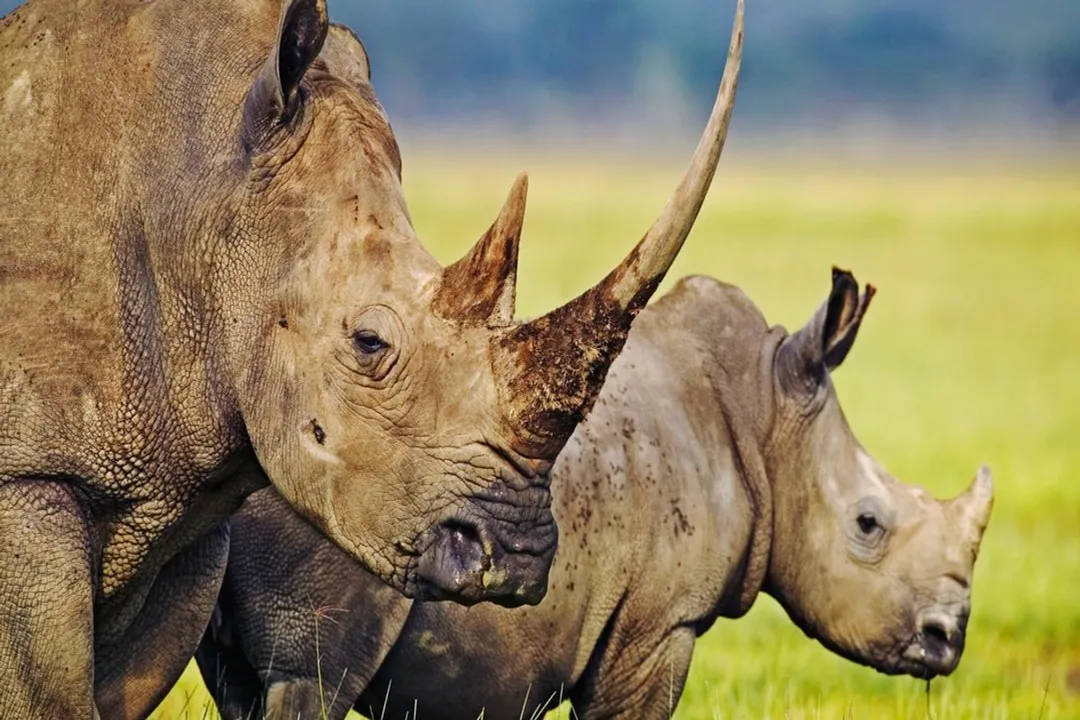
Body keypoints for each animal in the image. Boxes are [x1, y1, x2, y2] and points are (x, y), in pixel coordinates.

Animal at [0, 0, 743, 715]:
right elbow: (48, 697)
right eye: (369, 343)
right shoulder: (28, 476)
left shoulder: (182, 491)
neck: (207, 200)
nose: (517, 556)